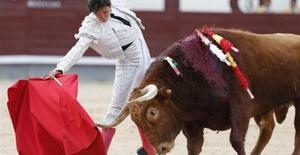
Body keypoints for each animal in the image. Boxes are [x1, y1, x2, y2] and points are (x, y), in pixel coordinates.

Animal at [98, 28, 298, 155]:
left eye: (153, 112)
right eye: (135, 120)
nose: (161, 149)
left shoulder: (241, 106)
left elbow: (236, 140)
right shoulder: (192, 122)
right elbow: (193, 147)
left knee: (296, 131)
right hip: (265, 107)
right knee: (267, 128)